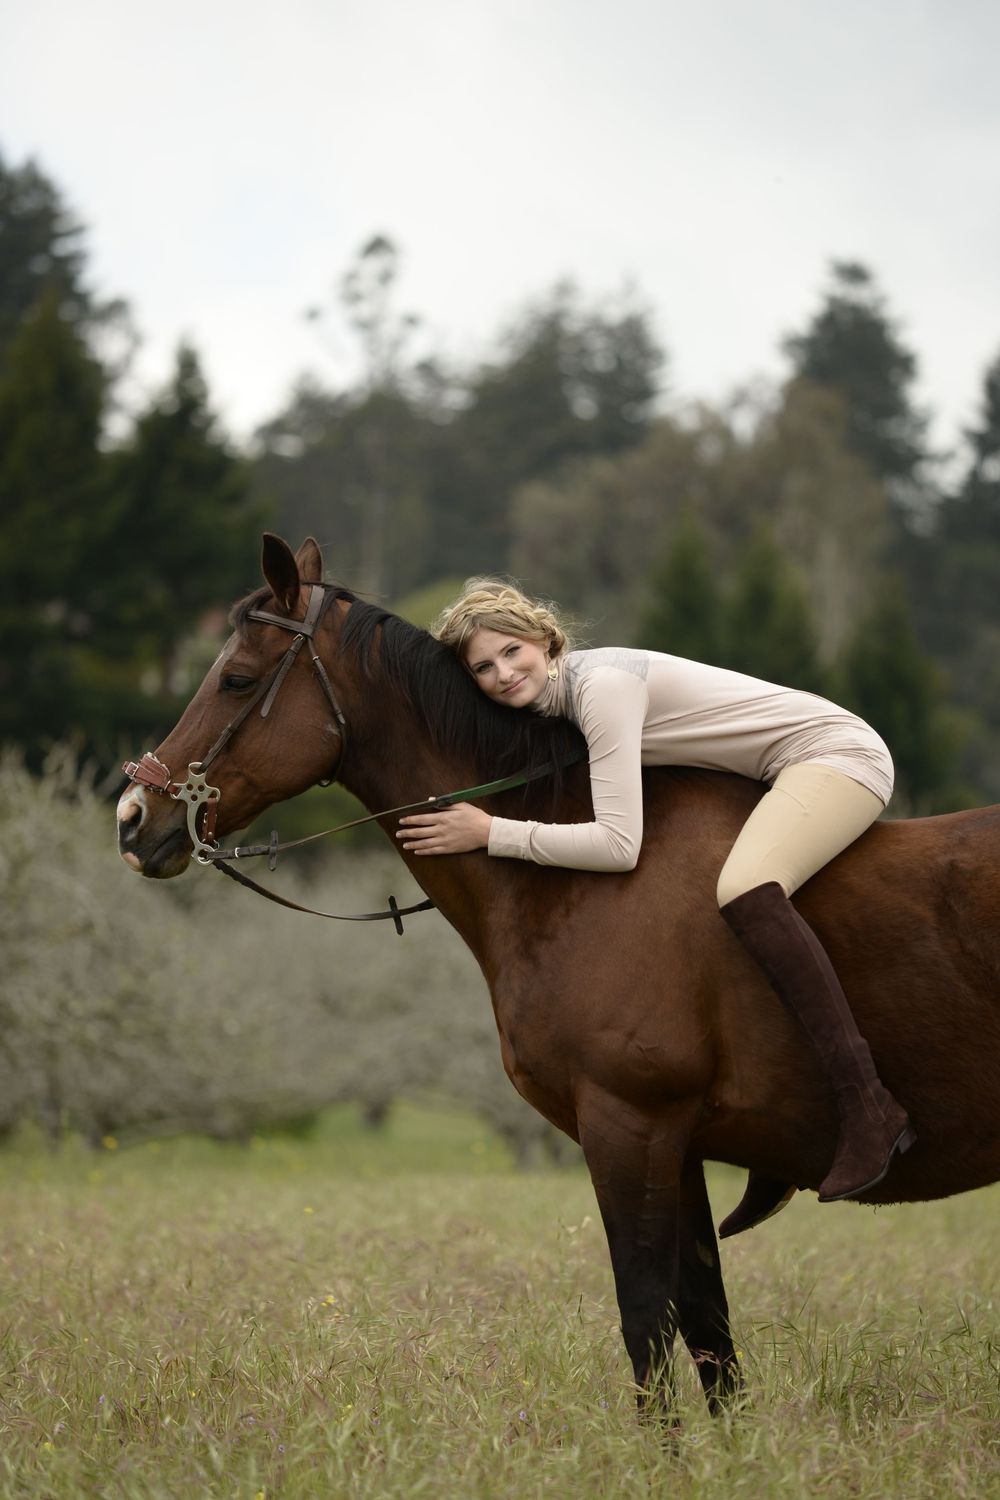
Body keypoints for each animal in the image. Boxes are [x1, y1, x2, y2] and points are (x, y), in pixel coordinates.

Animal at [117, 533, 1000, 1419]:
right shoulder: (677, 1149)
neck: (568, 877)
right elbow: (708, 1330)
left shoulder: (629, 1127)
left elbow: (646, 1319)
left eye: (235, 679)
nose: (131, 820)